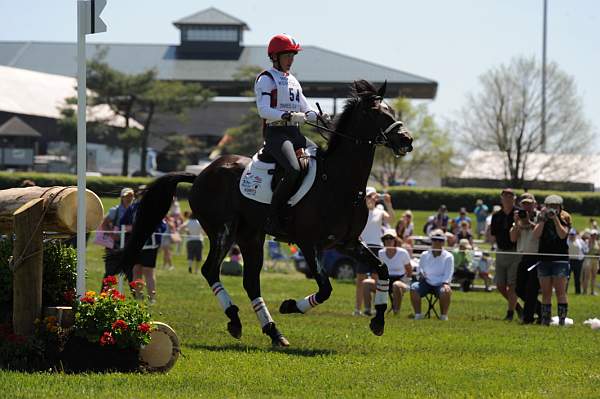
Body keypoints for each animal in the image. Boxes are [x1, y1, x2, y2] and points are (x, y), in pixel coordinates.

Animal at [119, 80, 414, 346]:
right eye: (378, 113)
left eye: (391, 110)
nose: (407, 140)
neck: (339, 182)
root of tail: (201, 174)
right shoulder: (309, 243)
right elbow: (326, 289)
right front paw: (290, 306)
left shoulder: (348, 243)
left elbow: (383, 270)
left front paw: (378, 318)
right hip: (223, 232)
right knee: (210, 270)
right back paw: (235, 319)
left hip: (250, 236)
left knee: (251, 281)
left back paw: (273, 332)